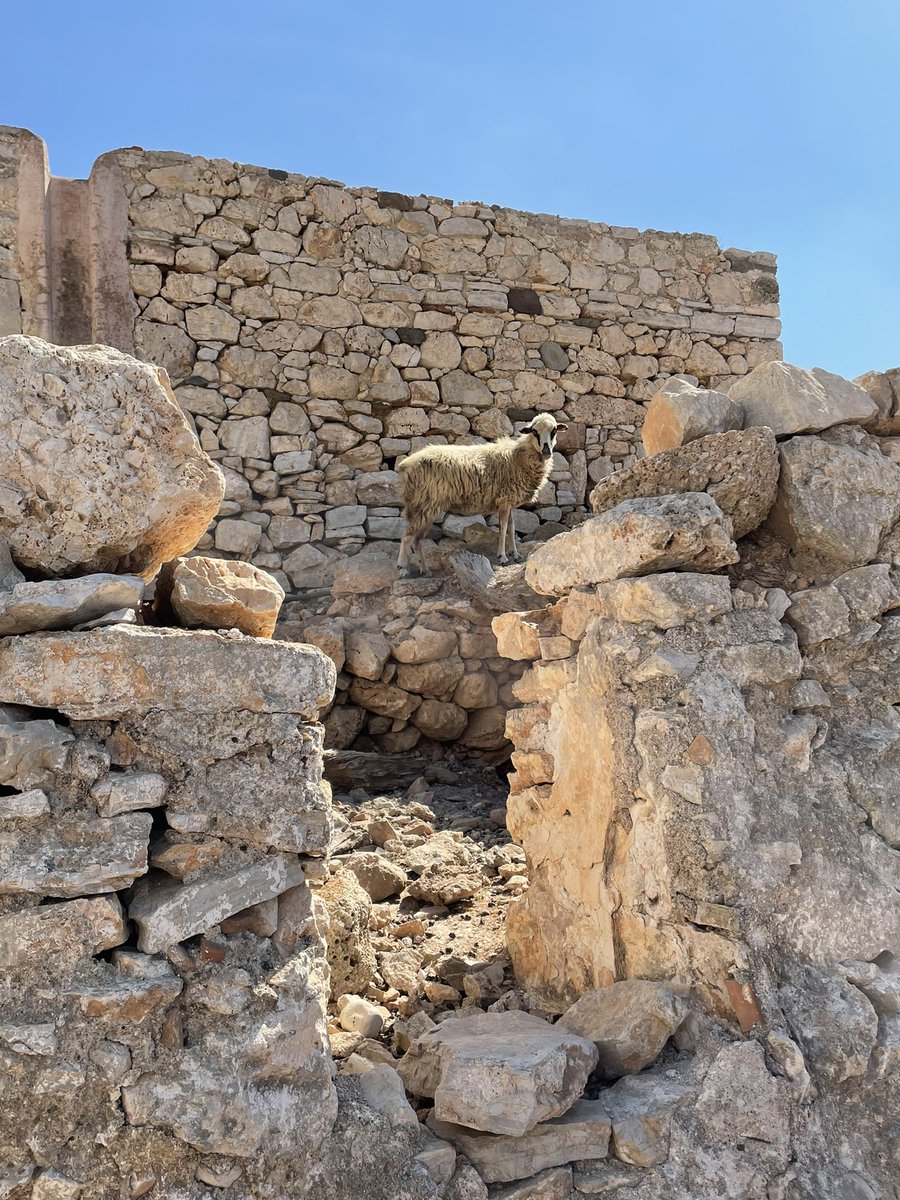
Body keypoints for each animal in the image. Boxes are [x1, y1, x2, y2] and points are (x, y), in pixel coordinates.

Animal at [396, 412, 568, 576]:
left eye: (554, 431)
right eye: (534, 431)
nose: (546, 451)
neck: (518, 457)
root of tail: (407, 464)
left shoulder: (509, 501)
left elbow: (512, 527)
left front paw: (516, 554)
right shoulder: (504, 501)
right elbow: (503, 527)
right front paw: (502, 557)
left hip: (425, 506)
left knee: (418, 539)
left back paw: (425, 570)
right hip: (425, 504)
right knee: (407, 535)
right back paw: (402, 567)